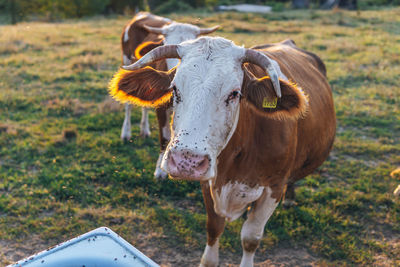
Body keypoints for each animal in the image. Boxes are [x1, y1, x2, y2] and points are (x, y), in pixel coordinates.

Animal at [108, 36, 334, 267]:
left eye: (234, 93)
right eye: (175, 89)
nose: (186, 161)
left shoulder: (274, 188)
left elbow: (250, 238)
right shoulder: (209, 183)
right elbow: (213, 230)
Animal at [119, 12, 219, 180]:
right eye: (167, 49)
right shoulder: (162, 108)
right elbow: (165, 137)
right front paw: (160, 171)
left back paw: (144, 129)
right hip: (127, 60)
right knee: (128, 105)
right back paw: (126, 132)